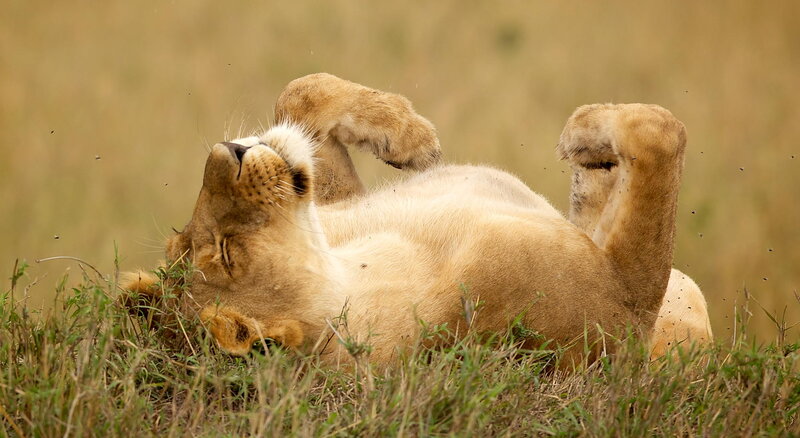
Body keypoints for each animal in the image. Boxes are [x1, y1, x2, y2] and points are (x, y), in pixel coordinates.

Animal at [123, 73, 711, 366]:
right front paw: (583, 128)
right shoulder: (621, 313)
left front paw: (407, 137)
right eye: (228, 255)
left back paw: (593, 171)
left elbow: (301, 92)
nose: (226, 152)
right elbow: (661, 134)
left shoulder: (333, 200)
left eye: (186, 245)